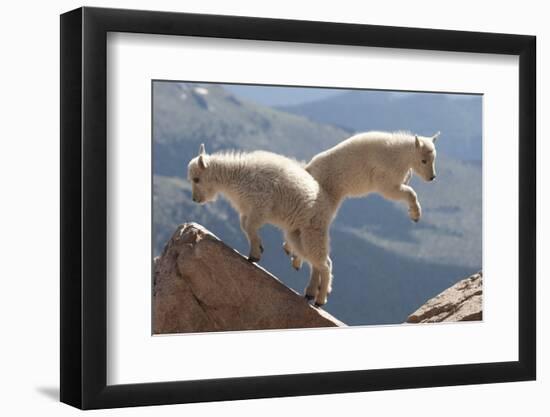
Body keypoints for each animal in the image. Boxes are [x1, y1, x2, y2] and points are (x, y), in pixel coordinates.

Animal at [188, 144, 338, 306]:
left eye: (196, 179)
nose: (195, 199)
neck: (235, 176)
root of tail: (328, 207)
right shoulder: (247, 210)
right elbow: (245, 226)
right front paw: (259, 248)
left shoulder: (260, 206)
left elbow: (249, 226)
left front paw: (255, 255)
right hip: (296, 234)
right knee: (317, 262)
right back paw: (310, 293)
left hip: (312, 230)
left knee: (324, 265)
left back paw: (320, 299)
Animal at [284, 132, 444, 276]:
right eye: (423, 160)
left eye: (434, 159)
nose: (432, 177)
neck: (400, 155)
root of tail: (308, 169)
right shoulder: (386, 180)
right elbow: (406, 192)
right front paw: (415, 215)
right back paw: (296, 257)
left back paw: (292, 254)